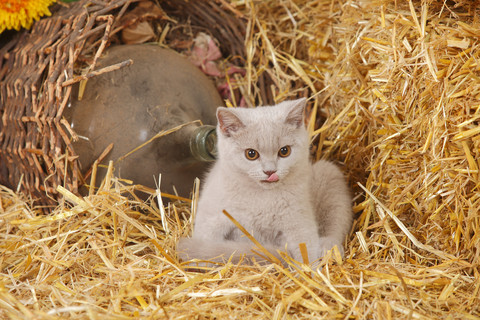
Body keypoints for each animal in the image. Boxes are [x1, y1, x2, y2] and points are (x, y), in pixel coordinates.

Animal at [176, 99, 352, 266]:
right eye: (251, 154)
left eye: (284, 151)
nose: (270, 172)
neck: (261, 197)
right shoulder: (211, 216)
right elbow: (206, 243)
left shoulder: (298, 220)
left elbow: (306, 249)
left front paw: (312, 274)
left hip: (329, 174)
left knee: (336, 222)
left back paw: (329, 247)